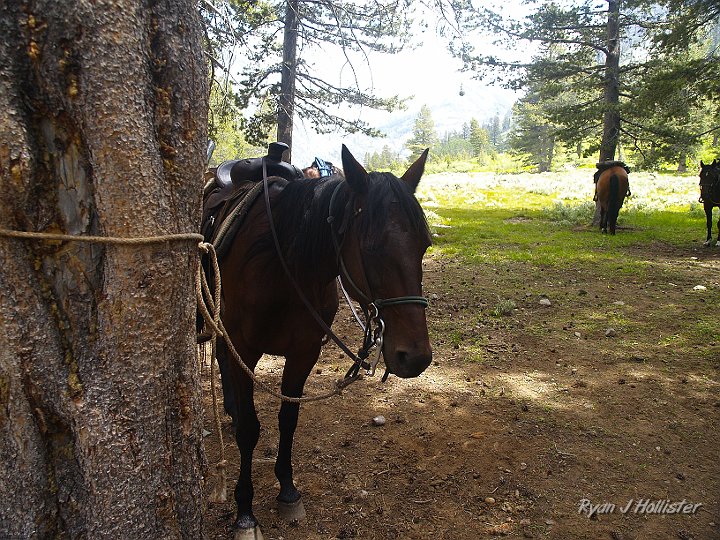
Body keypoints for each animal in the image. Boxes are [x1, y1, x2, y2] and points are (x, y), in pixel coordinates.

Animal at [210, 145, 433, 539]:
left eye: (424, 245)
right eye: (371, 248)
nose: (416, 357)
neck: (281, 266)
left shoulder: (304, 352)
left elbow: (289, 418)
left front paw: (287, 490)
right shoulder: (244, 351)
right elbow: (250, 430)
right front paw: (245, 512)